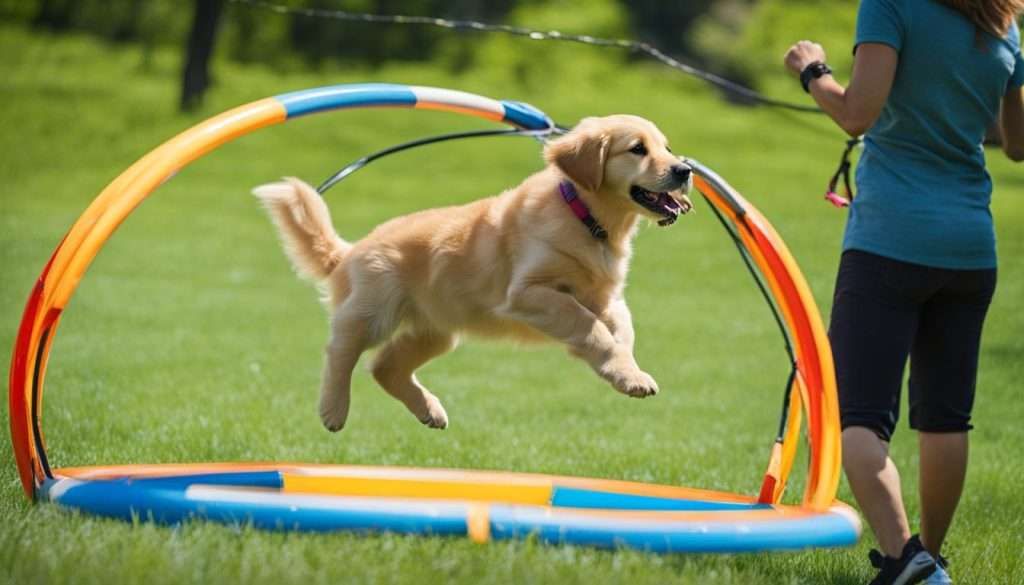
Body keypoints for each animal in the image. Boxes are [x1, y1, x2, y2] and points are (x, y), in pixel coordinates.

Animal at [251, 115, 692, 434]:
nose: (685, 170)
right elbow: (590, 327)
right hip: (375, 312)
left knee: (384, 366)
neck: (587, 219)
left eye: (667, 148)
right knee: (340, 351)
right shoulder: (529, 293)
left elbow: (620, 332)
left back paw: (429, 409)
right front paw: (624, 372)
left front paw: (628, 373)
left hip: (437, 328)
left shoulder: (607, 297)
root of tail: (351, 249)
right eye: (637, 149)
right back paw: (333, 410)